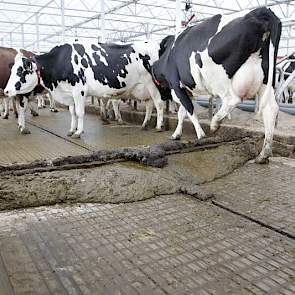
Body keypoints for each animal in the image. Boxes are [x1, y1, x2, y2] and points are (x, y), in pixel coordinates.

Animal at [4, 41, 166, 138]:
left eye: (21, 71)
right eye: (11, 70)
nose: (6, 91)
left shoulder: (79, 91)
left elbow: (80, 112)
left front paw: (78, 132)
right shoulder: (69, 93)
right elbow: (72, 112)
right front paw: (71, 130)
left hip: (153, 84)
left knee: (159, 104)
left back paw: (159, 126)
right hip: (144, 88)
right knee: (150, 105)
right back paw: (145, 125)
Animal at [153, 7, 282, 164]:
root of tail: (260, 11)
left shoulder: (176, 86)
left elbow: (189, 110)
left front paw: (201, 135)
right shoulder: (186, 90)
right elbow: (182, 112)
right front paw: (176, 134)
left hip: (218, 78)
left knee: (232, 99)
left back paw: (215, 123)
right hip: (265, 80)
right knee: (270, 109)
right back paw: (264, 154)